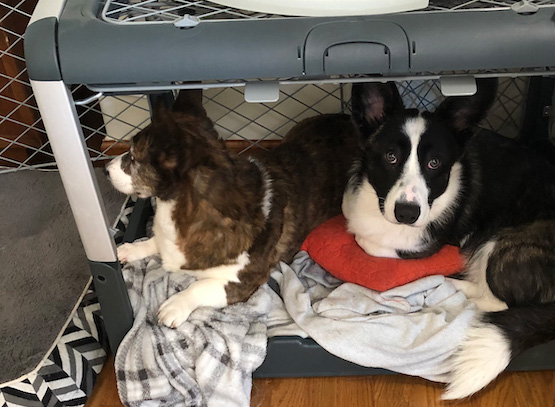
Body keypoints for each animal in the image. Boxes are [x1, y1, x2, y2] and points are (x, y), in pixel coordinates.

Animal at [344, 79, 555, 398]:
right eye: (391, 157)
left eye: (434, 163)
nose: (407, 213)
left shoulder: (421, 244)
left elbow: (367, 241)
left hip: (501, 245)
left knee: (499, 302)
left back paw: (447, 287)